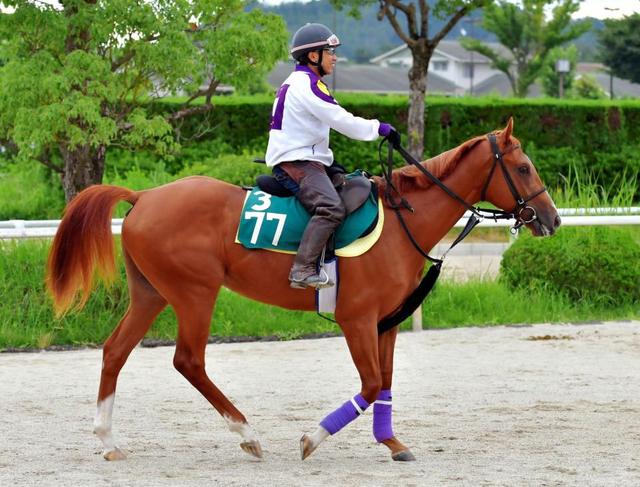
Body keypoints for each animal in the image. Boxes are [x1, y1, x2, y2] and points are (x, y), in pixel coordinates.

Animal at [47, 120, 560, 464]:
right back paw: (246, 433)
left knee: (115, 351)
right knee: (188, 361)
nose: (552, 219)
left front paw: (392, 443)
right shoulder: (356, 320)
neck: (402, 222)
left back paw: (109, 440)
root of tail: (144, 197)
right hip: (195, 293)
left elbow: (385, 383)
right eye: (523, 167)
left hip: (151, 294)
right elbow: (369, 385)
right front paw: (312, 438)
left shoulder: (386, 322)